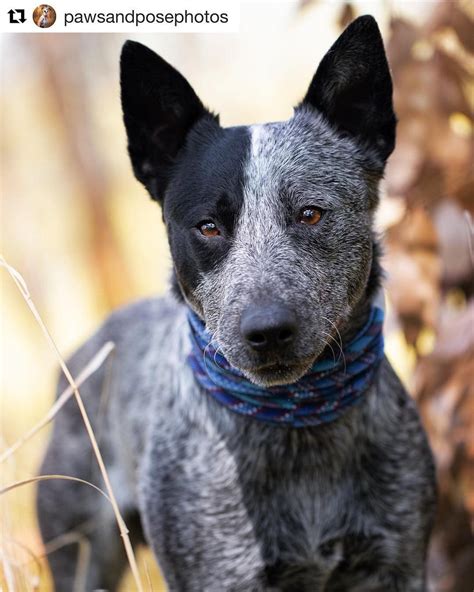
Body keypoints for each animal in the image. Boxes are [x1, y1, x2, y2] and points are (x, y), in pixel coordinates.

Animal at [38, 15, 436, 592]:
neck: (298, 431)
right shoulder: (218, 574)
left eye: (311, 213)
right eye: (208, 226)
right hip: (82, 551)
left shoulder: (397, 564)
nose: (267, 330)